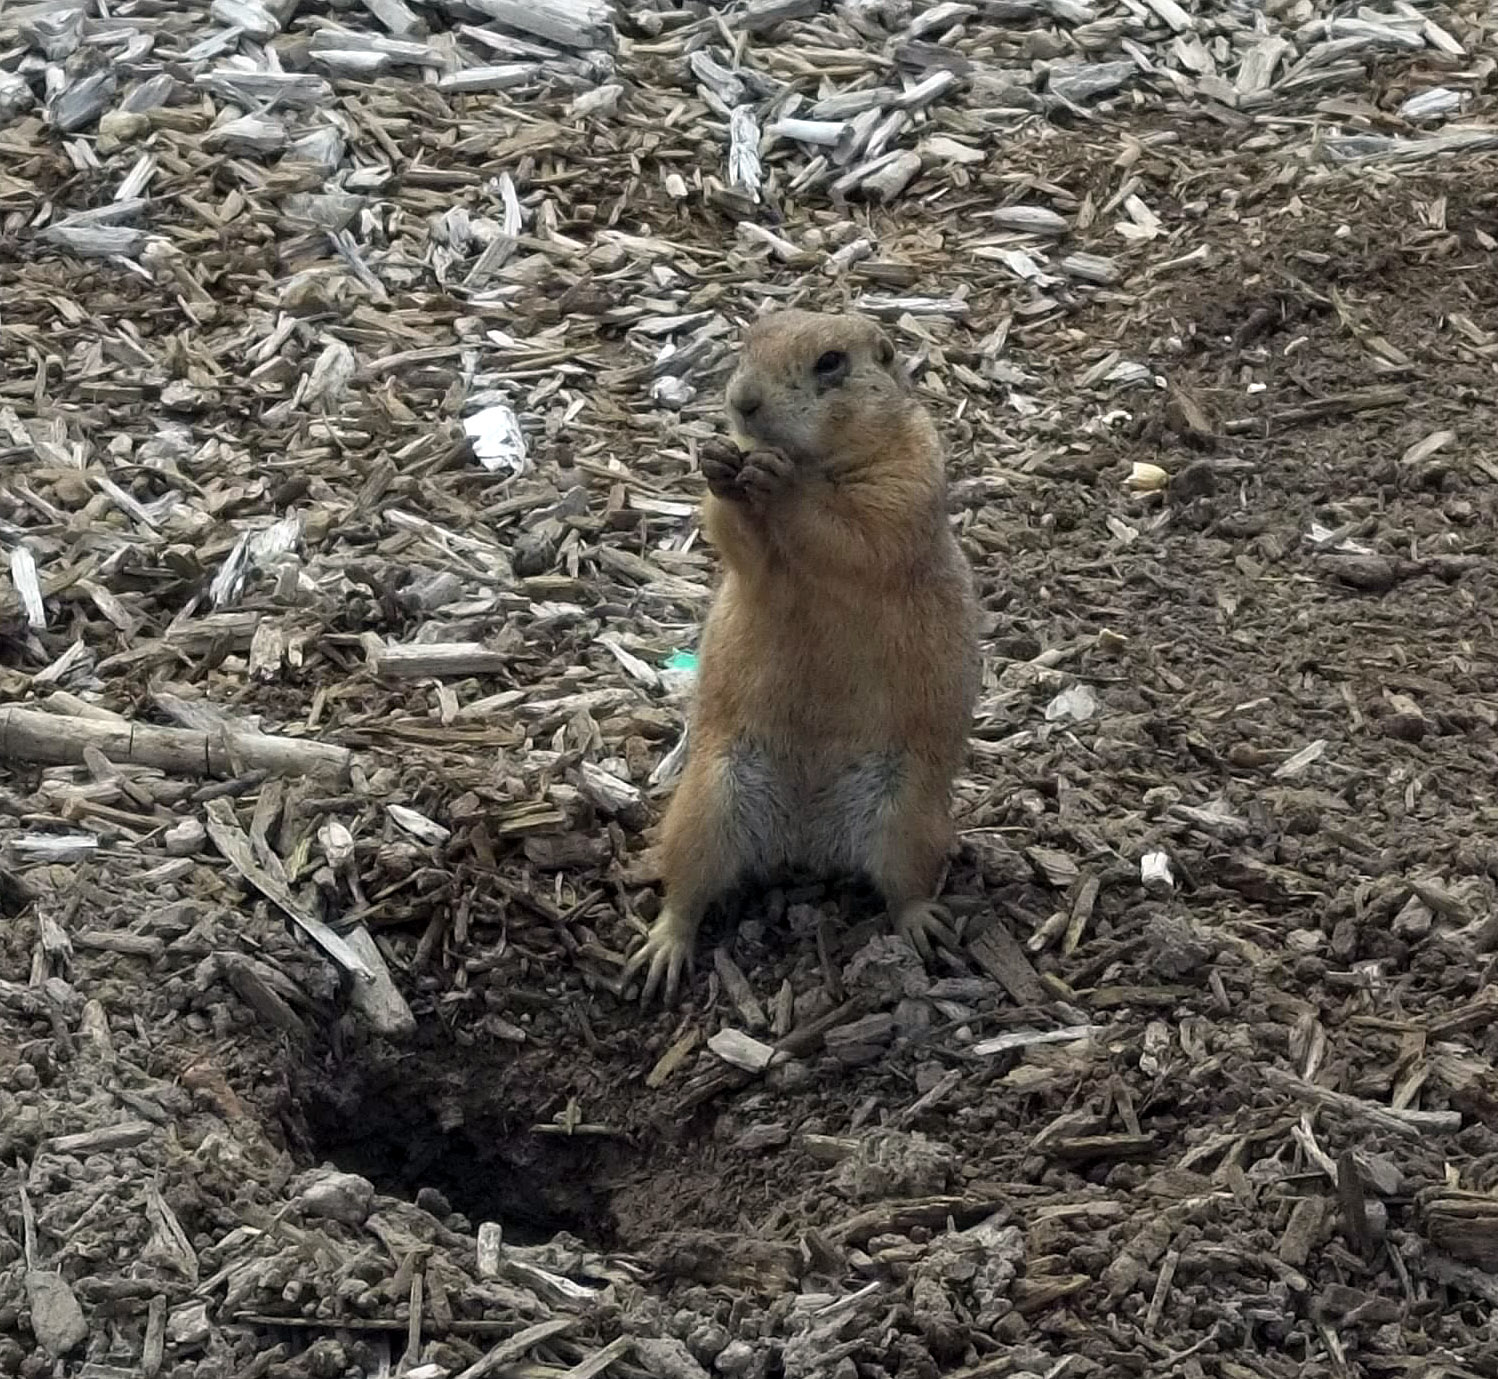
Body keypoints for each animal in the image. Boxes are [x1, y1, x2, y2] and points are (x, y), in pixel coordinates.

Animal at [622, 309, 981, 1007]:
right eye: (746, 343)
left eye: (831, 362)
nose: (742, 401)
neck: (817, 460)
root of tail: (806, 841)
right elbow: (740, 544)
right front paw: (718, 463)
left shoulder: (907, 479)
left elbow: (852, 533)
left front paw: (778, 482)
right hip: (706, 804)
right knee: (687, 891)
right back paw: (661, 950)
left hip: (910, 815)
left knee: (904, 888)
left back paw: (926, 927)